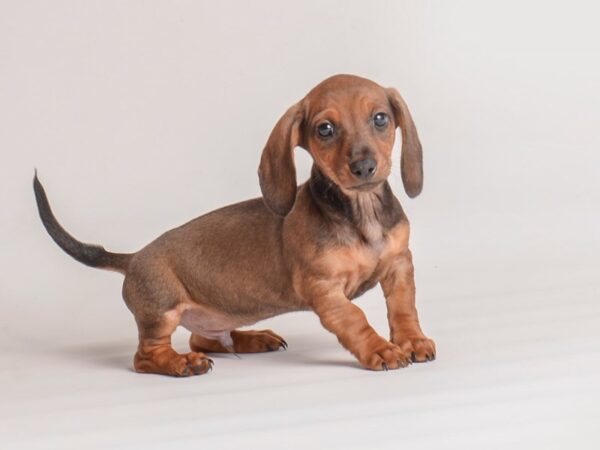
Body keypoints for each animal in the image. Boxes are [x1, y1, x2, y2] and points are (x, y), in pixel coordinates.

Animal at [34, 74, 436, 376]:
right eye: (324, 129)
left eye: (380, 118)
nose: (364, 167)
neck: (361, 213)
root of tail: (132, 258)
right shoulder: (323, 288)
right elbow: (355, 318)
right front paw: (381, 350)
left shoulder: (400, 264)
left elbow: (403, 307)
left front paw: (412, 341)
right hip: (161, 312)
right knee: (146, 356)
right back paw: (182, 363)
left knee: (205, 338)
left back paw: (253, 339)